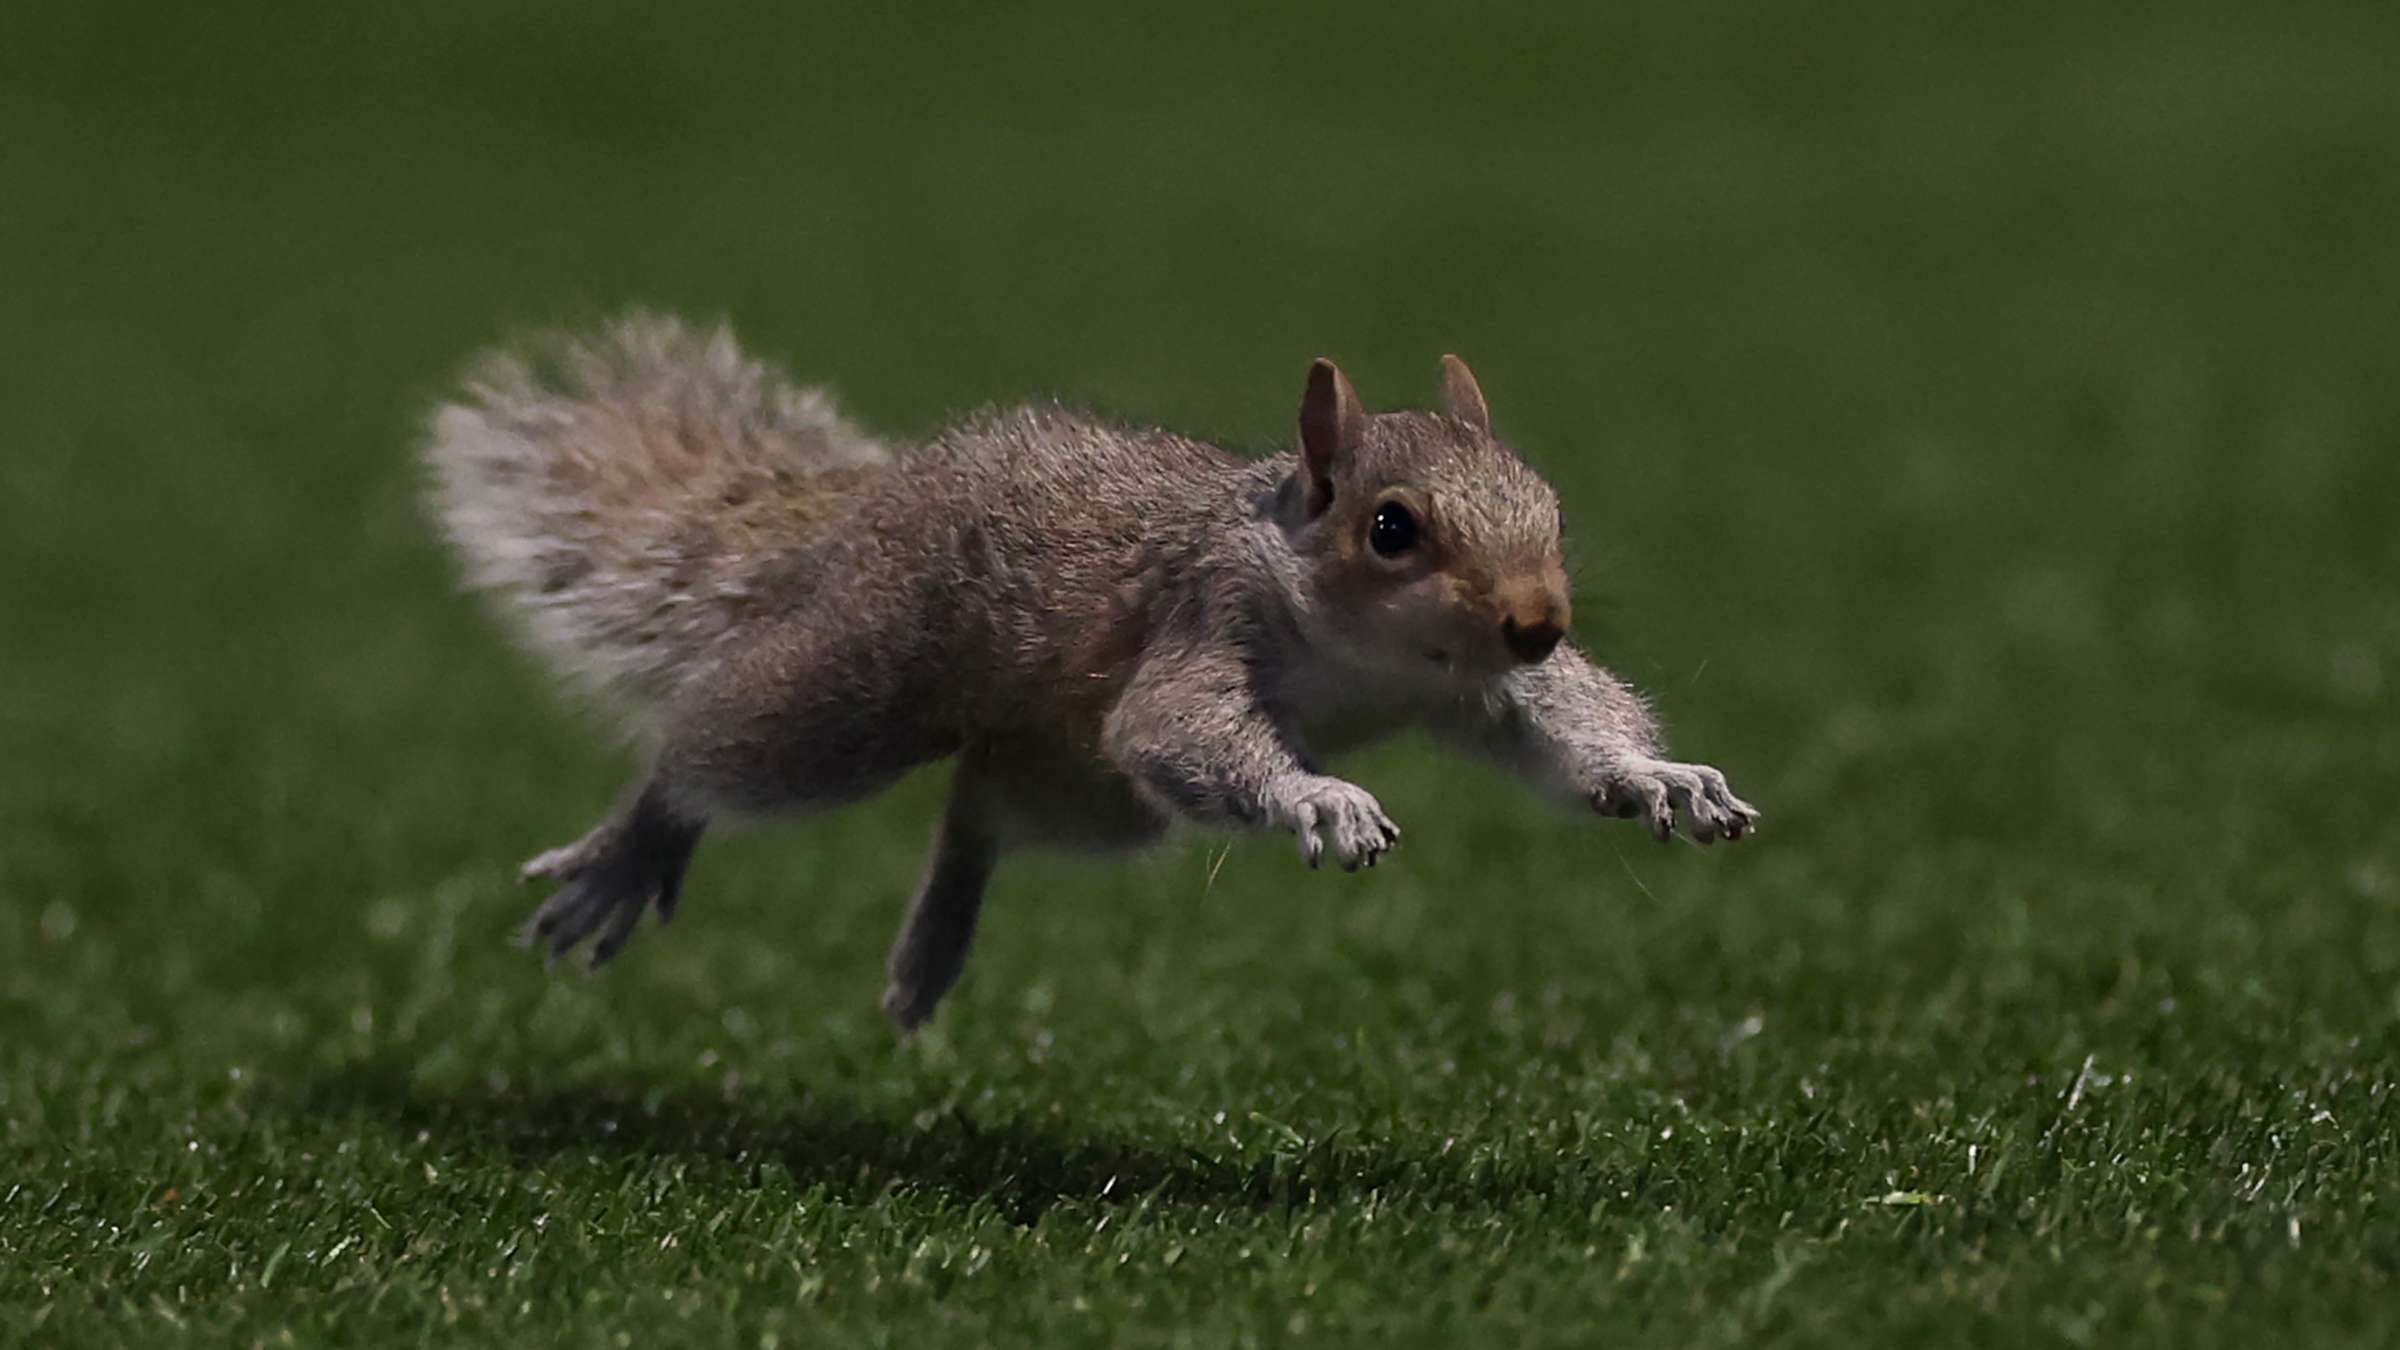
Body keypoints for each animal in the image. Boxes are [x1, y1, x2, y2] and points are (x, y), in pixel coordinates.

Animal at [424, 314, 1759, 1030]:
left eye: (1551, 506)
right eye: (1392, 528)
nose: (1539, 618)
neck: (1370, 653)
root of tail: (878, 501)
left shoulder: (1480, 686)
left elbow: (1566, 725)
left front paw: (1664, 779)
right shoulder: (1204, 621)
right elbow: (1185, 730)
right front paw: (1320, 797)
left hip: (1085, 789)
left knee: (978, 810)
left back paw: (932, 952)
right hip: (866, 681)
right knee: (723, 750)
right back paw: (633, 849)